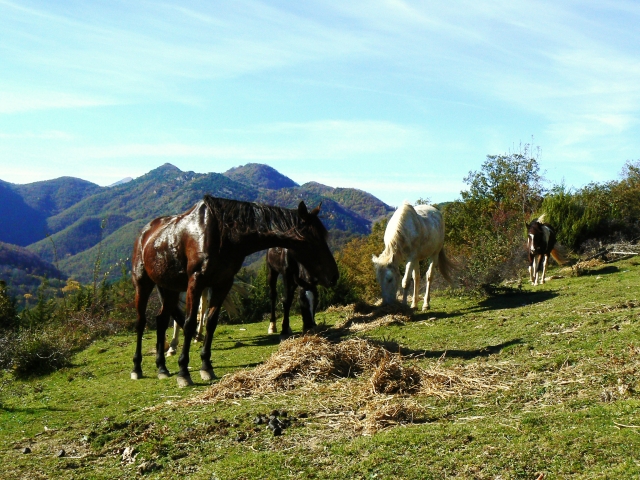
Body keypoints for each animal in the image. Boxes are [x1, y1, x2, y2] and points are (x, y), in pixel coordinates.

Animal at [131, 195, 339, 387]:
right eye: (312, 240)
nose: (333, 275)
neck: (222, 235)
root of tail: (145, 232)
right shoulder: (195, 282)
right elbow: (190, 324)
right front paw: (183, 372)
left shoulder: (223, 283)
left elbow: (211, 322)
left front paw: (206, 366)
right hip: (143, 283)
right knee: (141, 323)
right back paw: (137, 368)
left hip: (169, 287)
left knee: (161, 320)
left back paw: (162, 368)